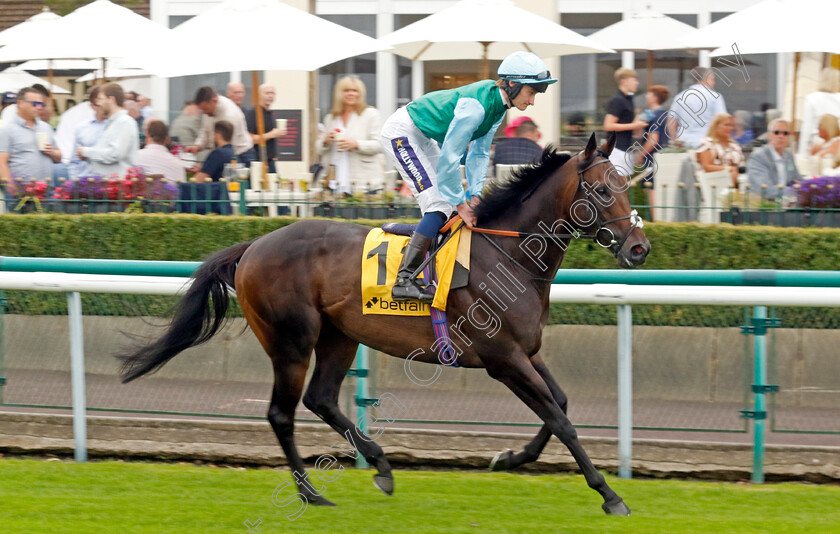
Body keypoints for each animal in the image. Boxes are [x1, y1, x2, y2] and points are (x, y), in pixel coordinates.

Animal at [116, 134, 648, 520]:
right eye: (603, 190)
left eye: (627, 185)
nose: (639, 248)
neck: (507, 254)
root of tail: (252, 247)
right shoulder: (503, 359)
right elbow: (561, 420)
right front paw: (609, 494)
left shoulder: (527, 352)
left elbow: (559, 404)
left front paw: (511, 458)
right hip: (292, 341)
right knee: (282, 413)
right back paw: (312, 494)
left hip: (339, 336)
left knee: (321, 399)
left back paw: (382, 465)